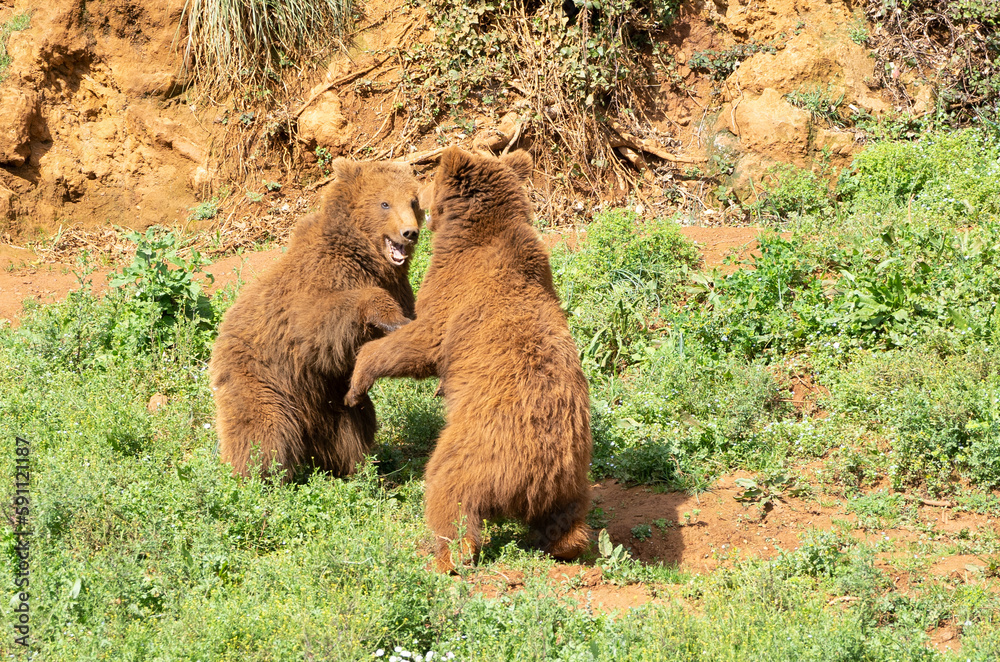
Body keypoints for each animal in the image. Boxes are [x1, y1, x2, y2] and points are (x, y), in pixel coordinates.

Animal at [209, 158, 424, 480]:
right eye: (385, 203)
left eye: (414, 201)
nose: (409, 232)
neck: (366, 259)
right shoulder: (320, 281)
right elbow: (316, 323)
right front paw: (386, 315)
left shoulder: (397, 285)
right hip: (261, 377)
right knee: (263, 431)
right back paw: (255, 478)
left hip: (329, 402)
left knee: (353, 427)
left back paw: (358, 470)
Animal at [345, 147, 592, 571]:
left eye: (427, 184)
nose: (419, 203)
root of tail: (537, 475)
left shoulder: (453, 292)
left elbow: (421, 341)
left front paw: (357, 383)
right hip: (572, 474)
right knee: (569, 519)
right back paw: (567, 545)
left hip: (475, 448)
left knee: (449, 491)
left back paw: (443, 554)